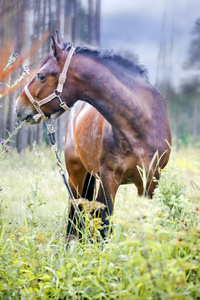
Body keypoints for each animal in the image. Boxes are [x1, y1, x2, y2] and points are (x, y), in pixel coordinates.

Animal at [16, 34, 172, 238]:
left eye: (41, 75)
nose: (18, 107)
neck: (140, 127)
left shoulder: (150, 183)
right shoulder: (108, 180)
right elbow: (105, 225)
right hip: (76, 175)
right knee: (75, 210)